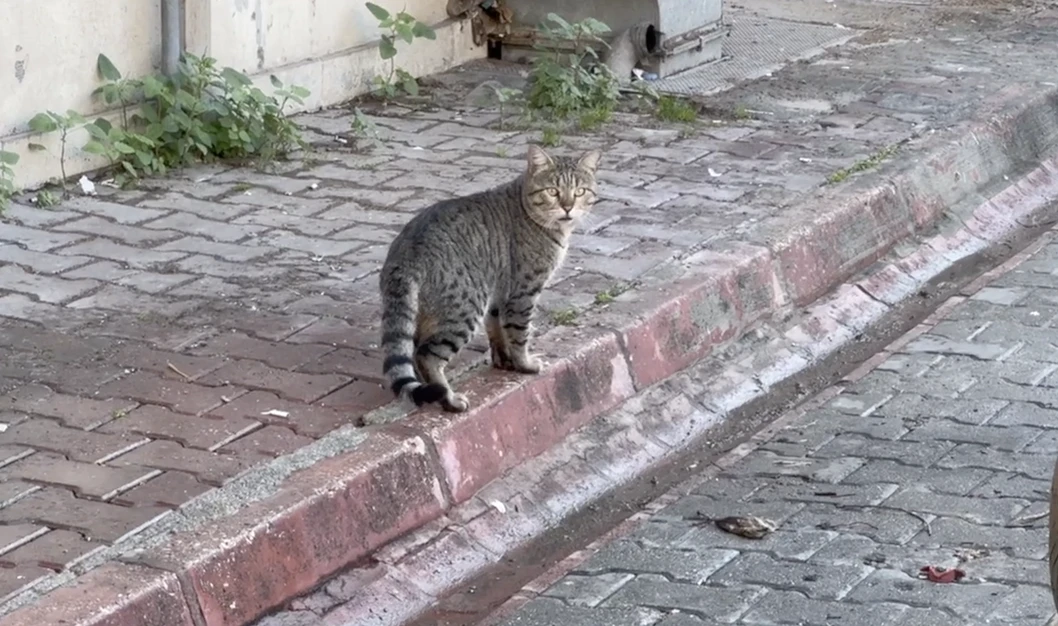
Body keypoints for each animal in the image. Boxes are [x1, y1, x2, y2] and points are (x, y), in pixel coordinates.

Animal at [380, 143, 600, 412]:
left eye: (579, 191)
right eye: (552, 191)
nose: (568, 207)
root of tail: (407, 254)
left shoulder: (498, 292)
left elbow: (496, 327)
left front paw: (503, 359)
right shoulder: (524, 292)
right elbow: (519, 334)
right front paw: (525, 364)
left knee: (414, 350)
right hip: (465, 308)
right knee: (427, 355)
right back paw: (449, 398)